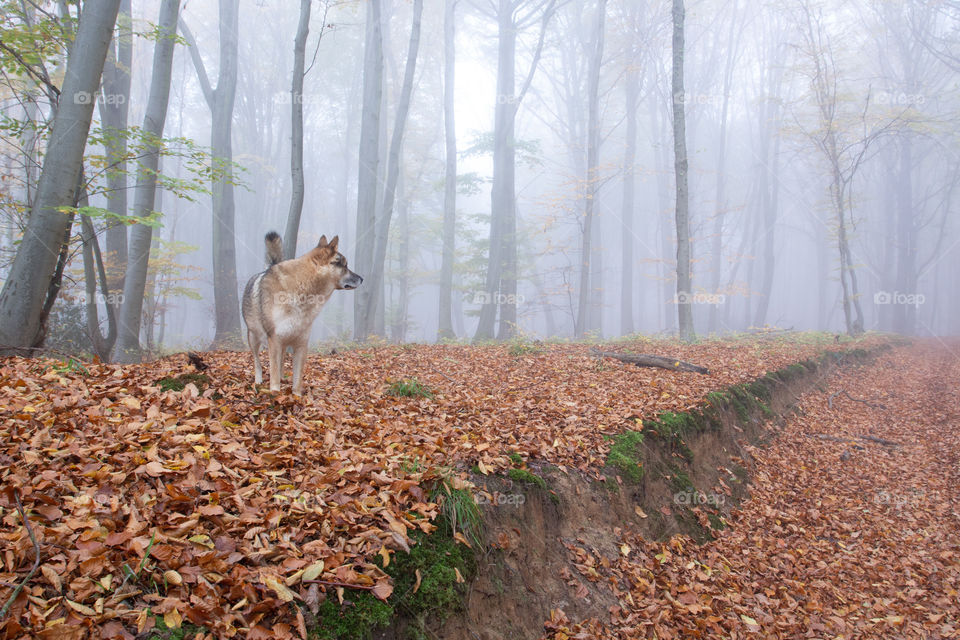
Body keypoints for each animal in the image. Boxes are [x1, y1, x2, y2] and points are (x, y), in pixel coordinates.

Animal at [242, 232, 362, 396]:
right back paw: (258, 381)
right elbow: (273, 374)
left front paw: (296, 397)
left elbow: (297, 379)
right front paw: (275, 394)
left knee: (280, 363)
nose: (362, 279)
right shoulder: (274, 341)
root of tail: (267, 269)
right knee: (257, 362)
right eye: (345, 266)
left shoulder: (301, 344)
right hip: (254, 339)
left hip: (283, 345)